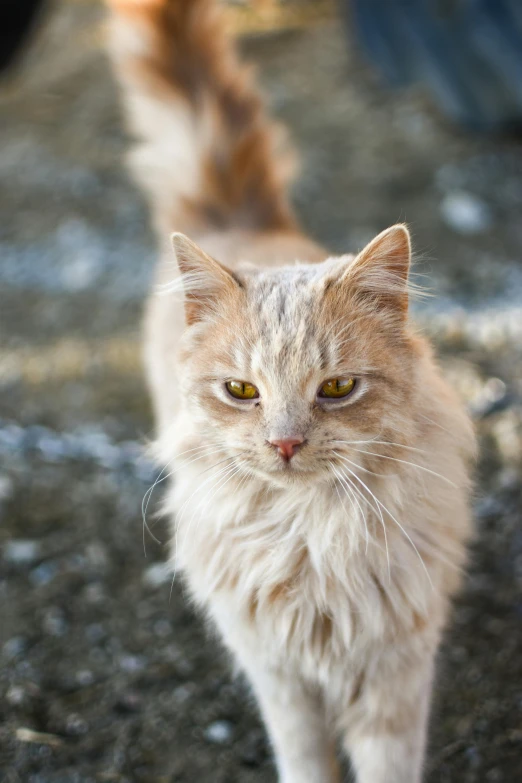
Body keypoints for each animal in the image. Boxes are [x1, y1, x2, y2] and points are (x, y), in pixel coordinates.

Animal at [103, 3, 474, 780]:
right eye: (242, 389)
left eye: (336, 387)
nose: (283, 443)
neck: (310, 541)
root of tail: (245, 223)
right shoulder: (279, 676)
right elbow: (305, 759)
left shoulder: (395, 674)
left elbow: (386, 763)